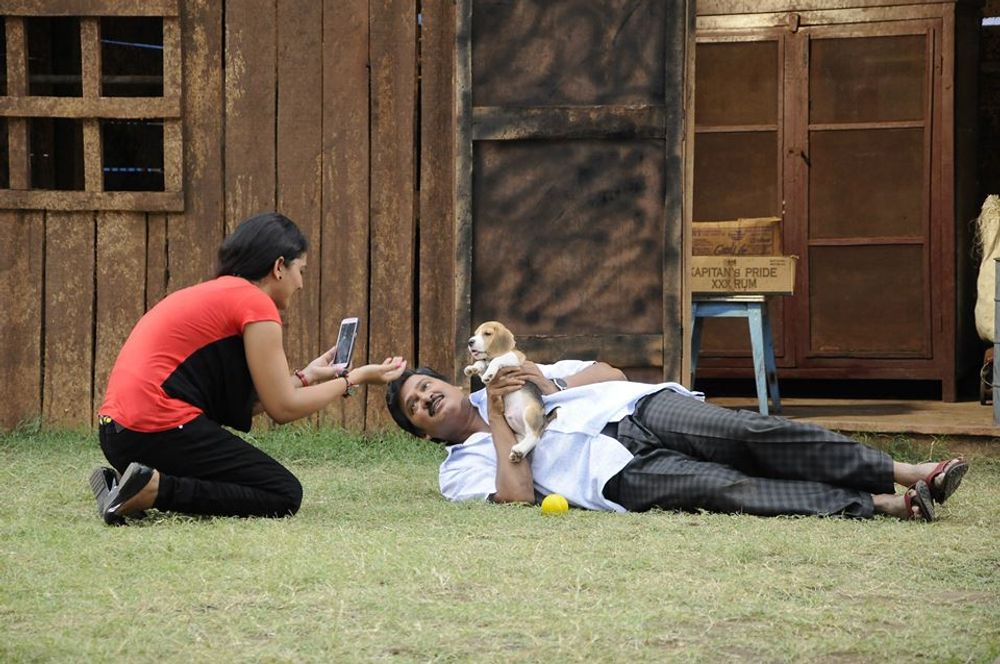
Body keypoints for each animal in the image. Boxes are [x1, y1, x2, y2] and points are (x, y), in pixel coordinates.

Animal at [464, 321, 557, 463]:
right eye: (475, 334)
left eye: (487, 333)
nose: (470, 342)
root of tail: (544, 421)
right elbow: (481, 363)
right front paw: (472, 368)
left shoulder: (514, 358)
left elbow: (497, 360)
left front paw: (489, 373)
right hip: (518, 434)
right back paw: (519, 453)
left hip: (530, 411)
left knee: (535, 437)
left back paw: (519, 450)